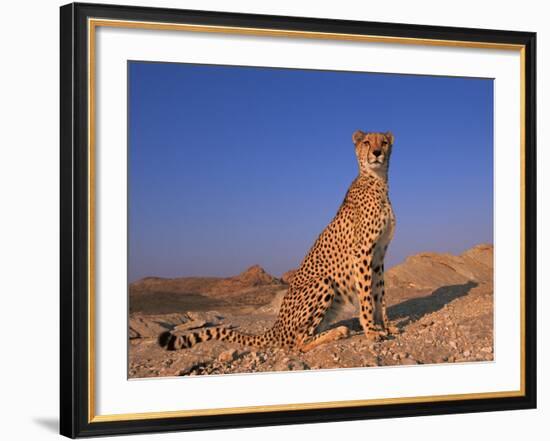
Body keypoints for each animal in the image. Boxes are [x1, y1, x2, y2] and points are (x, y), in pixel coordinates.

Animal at [157, 130, 398, 350]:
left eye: (384, 142)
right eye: (366, 142)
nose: (377, 152)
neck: (377, 181)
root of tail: (276, 327)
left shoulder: (378, 255)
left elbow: (380, 294)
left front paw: (385, 326)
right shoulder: (363, 252)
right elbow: (366, 296)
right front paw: (371, 330)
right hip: (323, 282)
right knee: (298, 343)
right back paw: (338, 332)